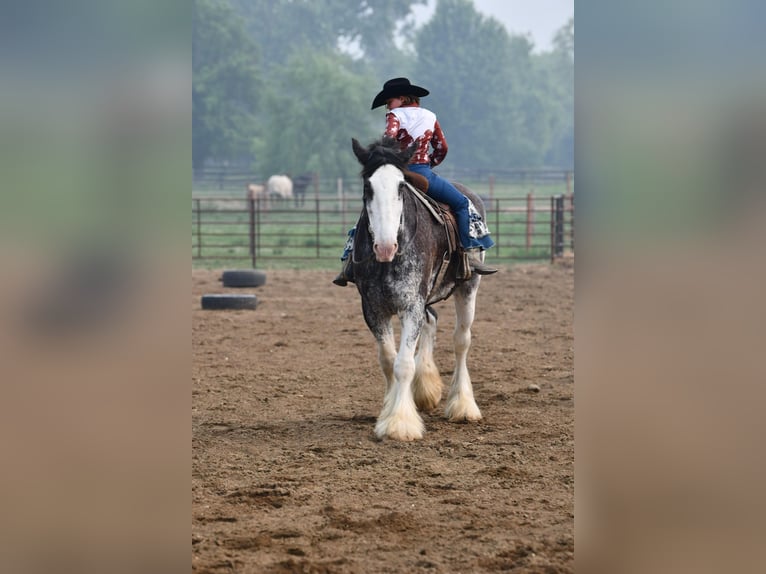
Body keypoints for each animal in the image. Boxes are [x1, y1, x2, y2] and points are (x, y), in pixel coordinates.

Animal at [350, 137, 492, 444]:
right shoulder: (373, 309)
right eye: (368, 187)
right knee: (432, 322)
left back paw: (463, 406)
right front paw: (391, 409)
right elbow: (388, 361)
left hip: (468, 287)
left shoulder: (410, 306)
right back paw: (425, 391)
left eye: (401, 187)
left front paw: (399, 423)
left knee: (461, 341)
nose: (385, 246)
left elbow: (404, 364)